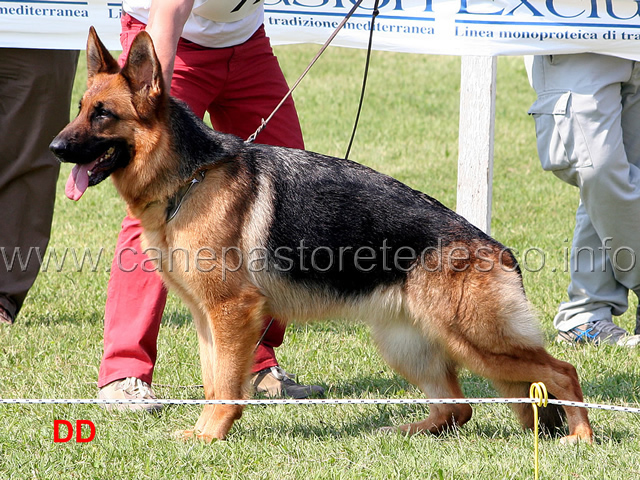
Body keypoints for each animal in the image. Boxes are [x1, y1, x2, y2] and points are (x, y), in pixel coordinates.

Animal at [51, 28, 596, 444]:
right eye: (78, 108)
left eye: (103, 114)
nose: (55, 148)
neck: (190, 178)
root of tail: (499, 250)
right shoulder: (209, 319)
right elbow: (213, 382)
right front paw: (208, 430)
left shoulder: (232, 312)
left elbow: (225, 384)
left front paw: (210, 436)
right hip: (408, 345)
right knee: (459, 408)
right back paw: (405, 431)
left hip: (475, 340)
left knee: (561, 372)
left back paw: (580, 438)